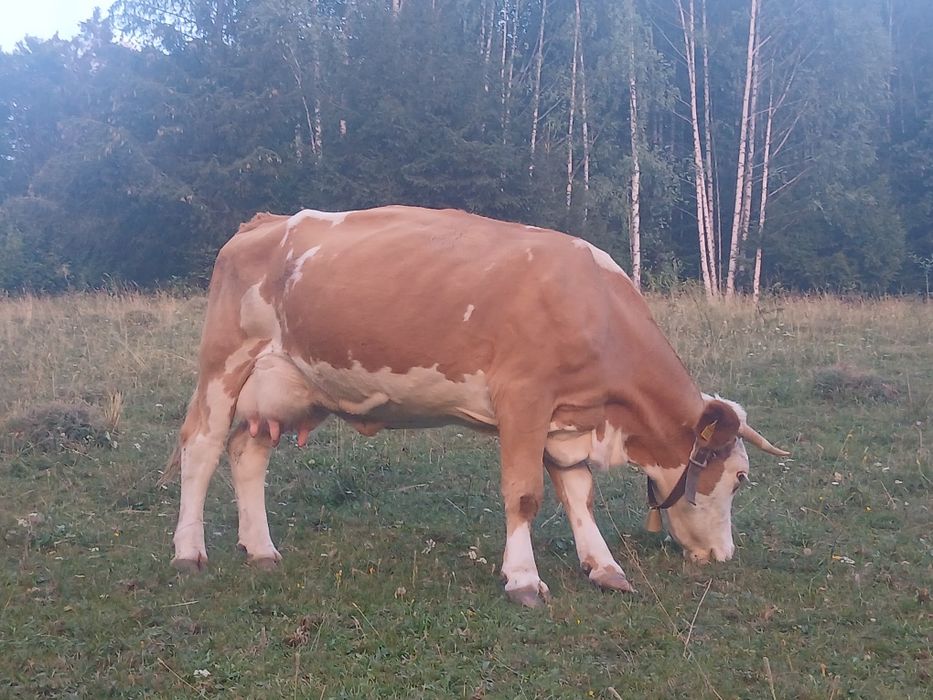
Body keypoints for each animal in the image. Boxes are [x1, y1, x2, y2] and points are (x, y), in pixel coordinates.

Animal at [166, 205, 788, 607]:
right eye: (739, 477)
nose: (725, 555)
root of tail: (262, 223)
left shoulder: (566, 419)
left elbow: (578, 493)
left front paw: (604, 566)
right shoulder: (523, 398)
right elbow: (525, 494)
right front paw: (523, 580)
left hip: (284, 383)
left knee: (247, 452)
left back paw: (261, 550)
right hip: (225, 361)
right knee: (202, 447)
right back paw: (189, 553)